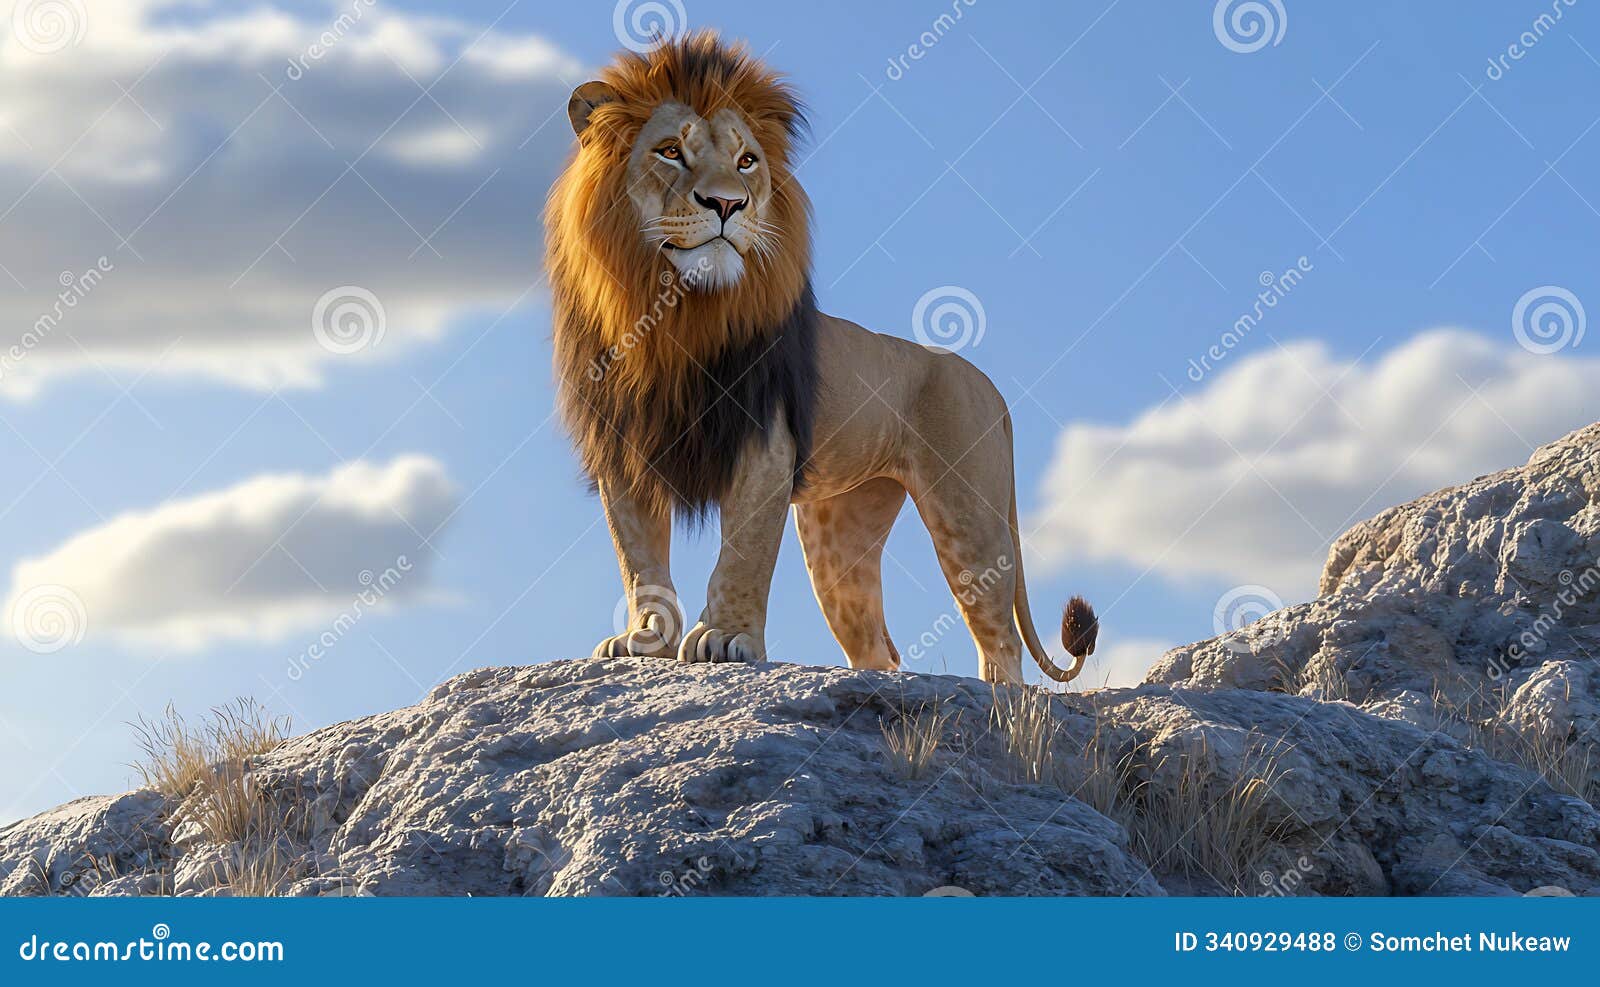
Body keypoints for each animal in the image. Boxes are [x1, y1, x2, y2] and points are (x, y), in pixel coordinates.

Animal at [544, 26, 1094, 681]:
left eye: (746, 161)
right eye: (670, 151)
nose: (726, 205)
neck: (674, 313)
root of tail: (992, 386)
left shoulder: (764, 442)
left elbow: (744, 553)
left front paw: (726, 639)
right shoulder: (624, 448)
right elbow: (638, 560)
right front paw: (644, 640)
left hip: (969, 514)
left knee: (1000, 640)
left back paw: (1004, 700)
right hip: (842, 535)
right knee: (876, 648)